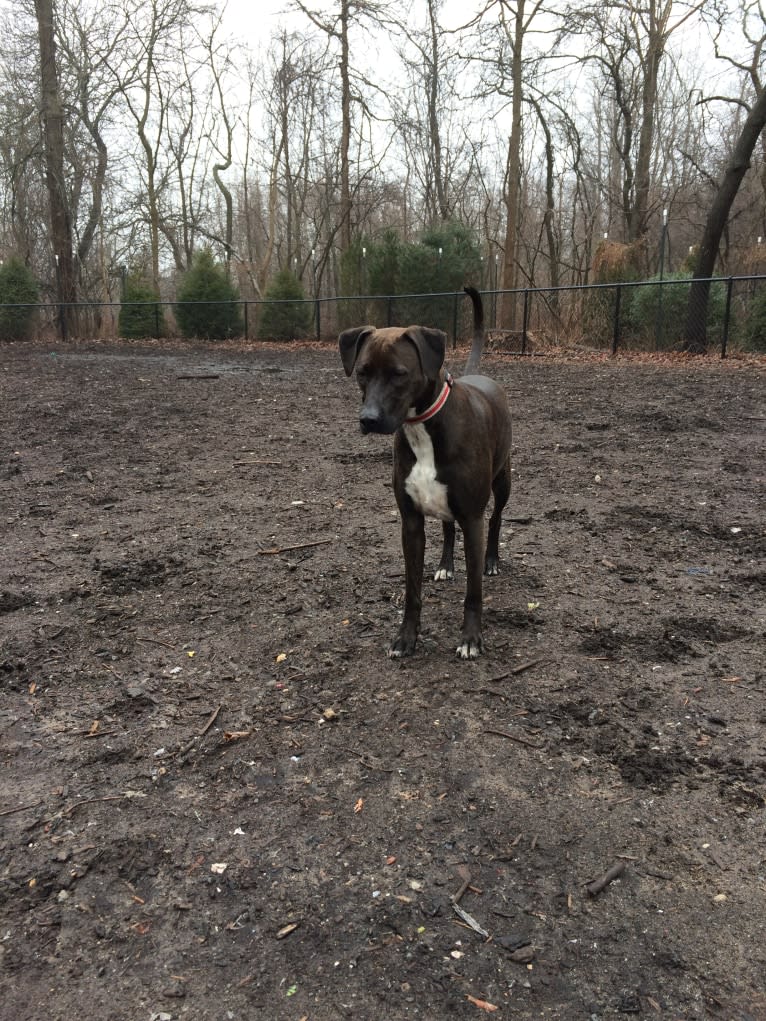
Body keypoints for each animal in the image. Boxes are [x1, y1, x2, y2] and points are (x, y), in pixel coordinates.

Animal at [339, 285, 512, 661]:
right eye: (362, 371)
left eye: (399, 373)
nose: (368, 420)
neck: (422, 427)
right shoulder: (410, 522)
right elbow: (412, 591)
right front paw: (406, 637)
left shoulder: (472, 519)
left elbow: (474, 592)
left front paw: (471, 638)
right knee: (447, 528)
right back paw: (446, 564)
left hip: (503, 481)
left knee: (496, 518)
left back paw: (492, 559)